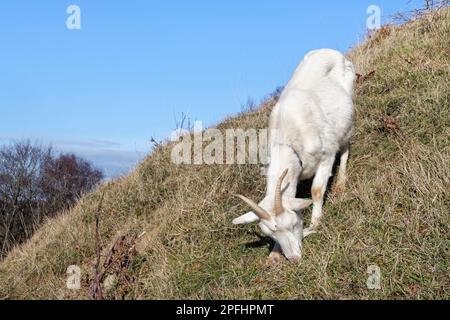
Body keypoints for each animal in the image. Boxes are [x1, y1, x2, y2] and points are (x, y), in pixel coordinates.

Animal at [232, 48, 356, 264]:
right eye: (272, 235)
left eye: (292, 224)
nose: (294, 258)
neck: (287, 144)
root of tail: (329, 52)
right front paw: (274, 255)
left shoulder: (326, 155)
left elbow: (316, 190)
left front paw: (315, 223)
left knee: (345, 146)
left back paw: (341, 182)